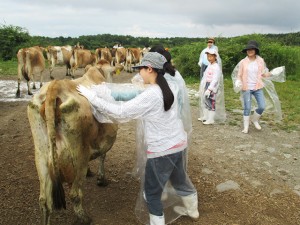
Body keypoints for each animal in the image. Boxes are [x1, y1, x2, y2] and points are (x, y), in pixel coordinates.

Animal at [27, 61, 122, 225]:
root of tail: (55, 86)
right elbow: (103, 156)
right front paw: (101, 179)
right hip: (78, 156)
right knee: (74, 194)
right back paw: (84, 218)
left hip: (41, 155)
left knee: (44, 201)